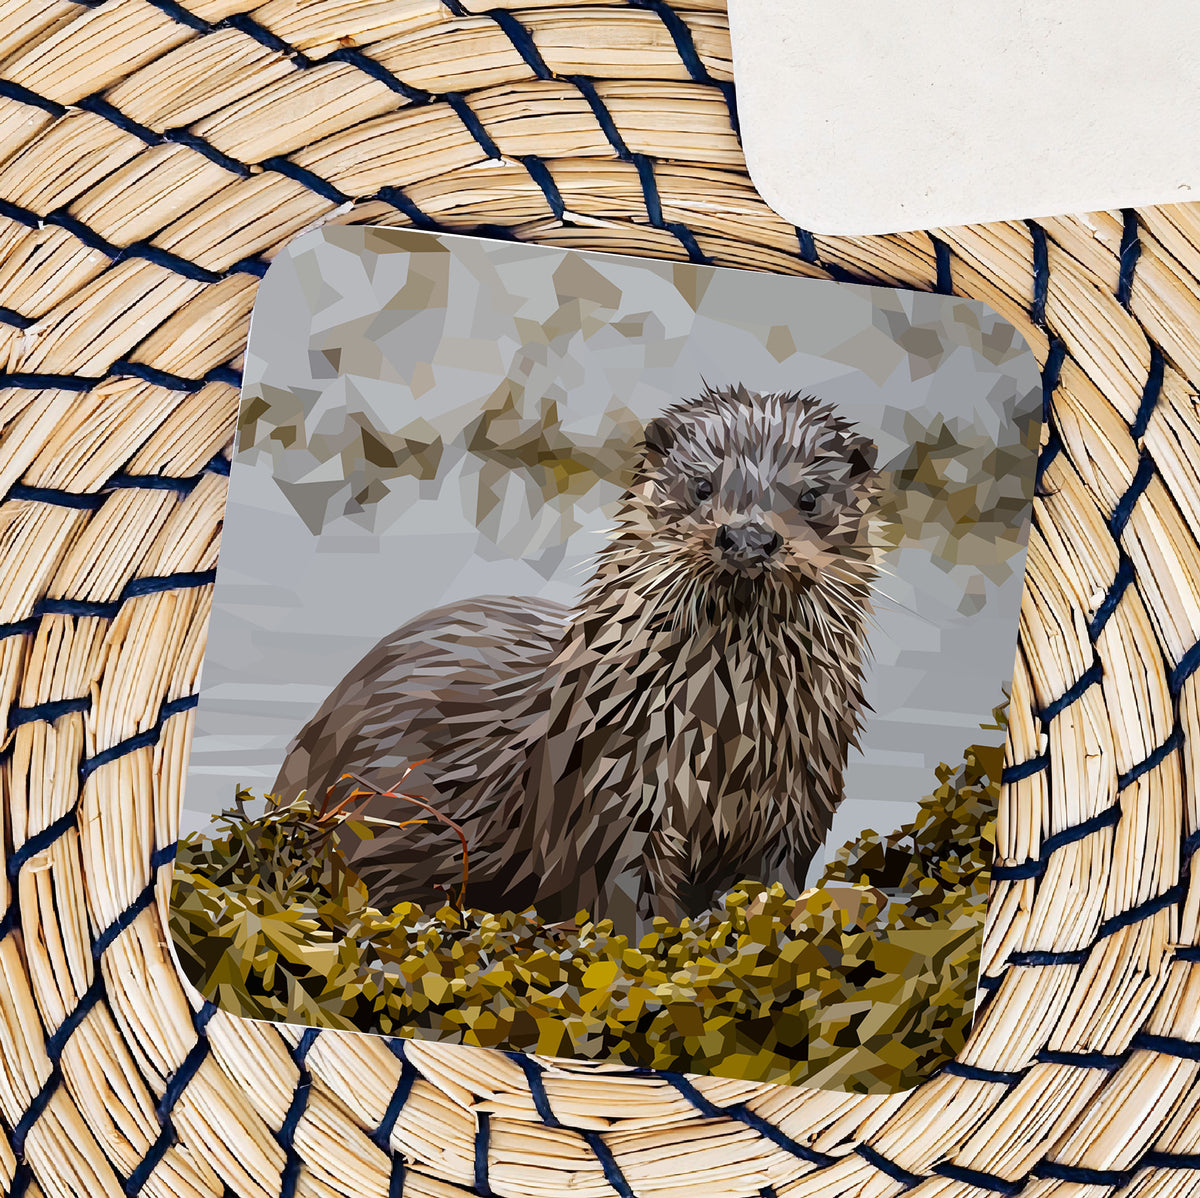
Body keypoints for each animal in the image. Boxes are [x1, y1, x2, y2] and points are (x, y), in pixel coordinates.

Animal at [272, 384, 879, 933]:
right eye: (702, 485)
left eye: (810, 497)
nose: (749, 537)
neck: (729, 738)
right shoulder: (613, 800)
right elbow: (623, 904)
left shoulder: (799, 808)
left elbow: (778, 878)